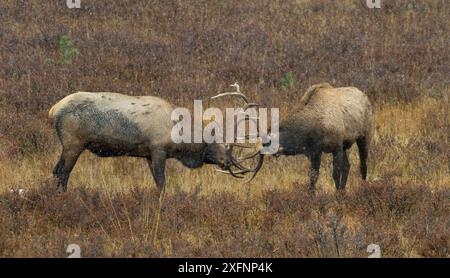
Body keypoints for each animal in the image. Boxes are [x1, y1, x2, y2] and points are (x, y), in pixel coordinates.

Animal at [49, 91, 253, 193]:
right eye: (218, 143)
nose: (227, 162)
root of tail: (52, 110)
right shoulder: (158, 150)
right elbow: (162, 183)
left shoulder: (147, 154)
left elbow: (156, 181)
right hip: (73, 144)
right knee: (63, 173)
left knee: (55, 171)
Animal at [216, 82, 374, 191]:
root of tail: (365, 96)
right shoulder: (315, 151)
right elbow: (313, 178)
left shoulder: (336, 146)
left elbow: (335, 174)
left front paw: (336, 196)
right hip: (346, 146)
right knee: (348, 166)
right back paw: (343, 191)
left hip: (364, 136)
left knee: (363, 164)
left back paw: (362, 187)